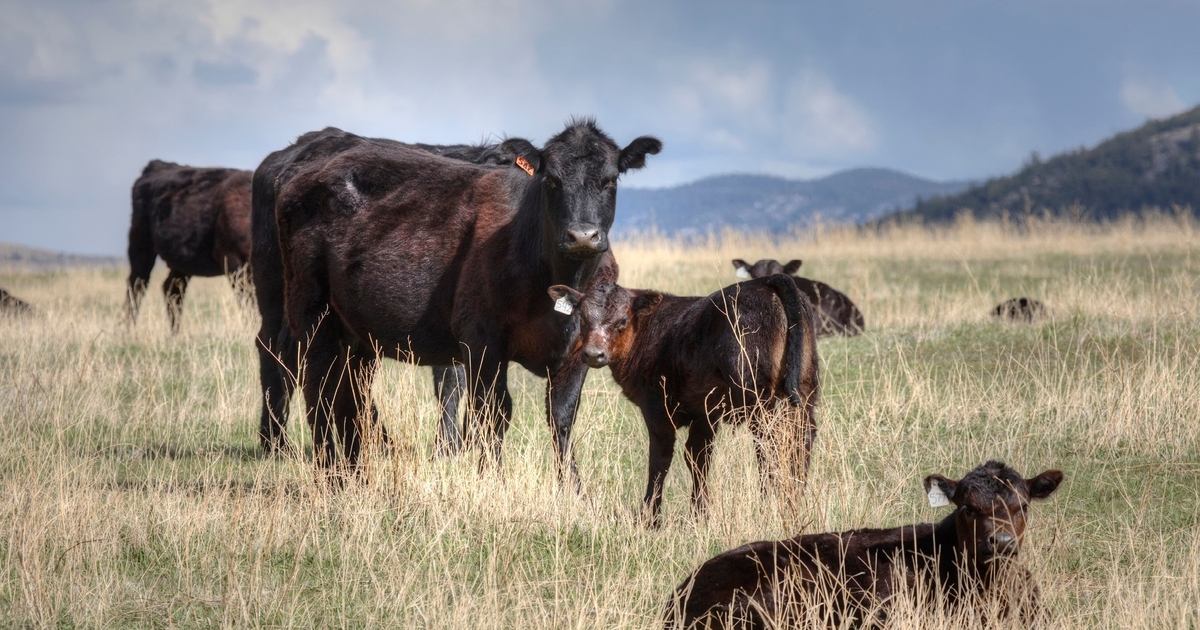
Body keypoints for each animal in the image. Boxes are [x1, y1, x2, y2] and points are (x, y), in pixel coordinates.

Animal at [127, 159, 252, 331]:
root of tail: (158, 165)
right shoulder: (235, 264)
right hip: (140, 245)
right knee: (137, 286)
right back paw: (128, 330)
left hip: (181, 262)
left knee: (172, 290)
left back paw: (175, 334)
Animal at [253, 119, 662, 482]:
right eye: (551, 180)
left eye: (610, 180)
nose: (582, 235)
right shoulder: (482, 340)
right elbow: (492, 411)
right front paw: (491, 479)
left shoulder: (579, 350)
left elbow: (561, 417)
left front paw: (572, 489)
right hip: (306, 310)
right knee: (313, 384)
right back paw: (321, 468)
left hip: (355, 332)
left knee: (348, 393)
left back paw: (357, 471)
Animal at [549, 274, 820, 525]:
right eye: (583, 319)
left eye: (622, 321)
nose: (593, 354)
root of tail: (767, 281)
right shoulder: (705, 412)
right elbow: (698, 457)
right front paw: (699, 514)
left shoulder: (657, 407)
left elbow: (660, 459)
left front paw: (649, 517)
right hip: (804, 389)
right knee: (801, 438)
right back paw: (795, 497)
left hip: (757, 395)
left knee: (771, 443)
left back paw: (770, 502)